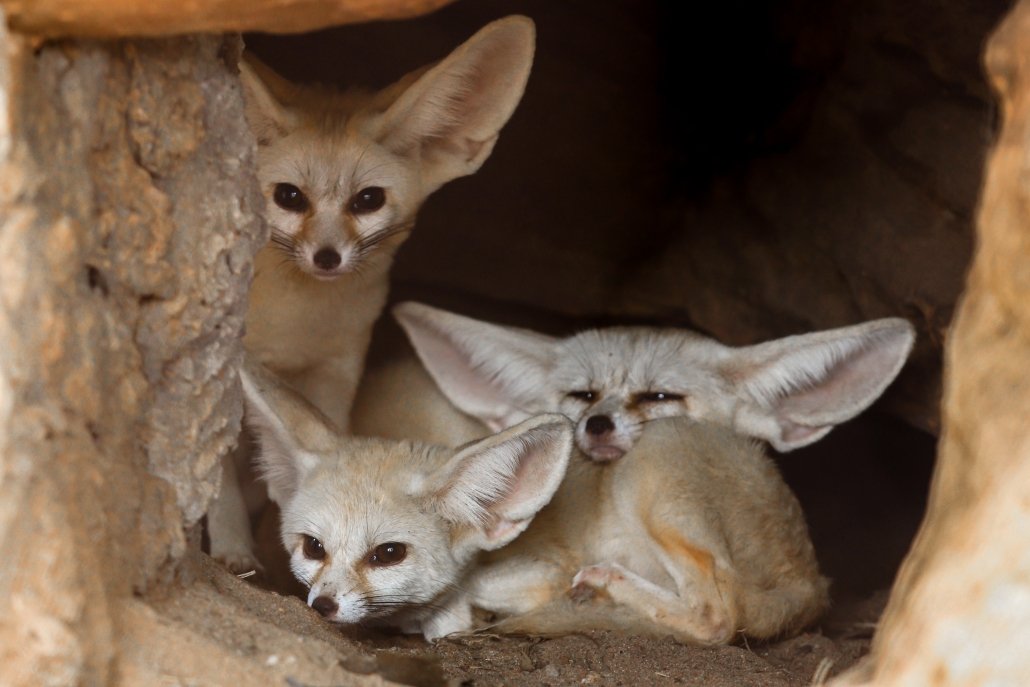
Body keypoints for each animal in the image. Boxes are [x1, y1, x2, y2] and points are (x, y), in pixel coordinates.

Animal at [207, 18, 539, 572]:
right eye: (289, 197)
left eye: (368, 200)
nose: (326, 258)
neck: (294, 329)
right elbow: (219, 479)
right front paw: (234, 553)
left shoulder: (336, 375)